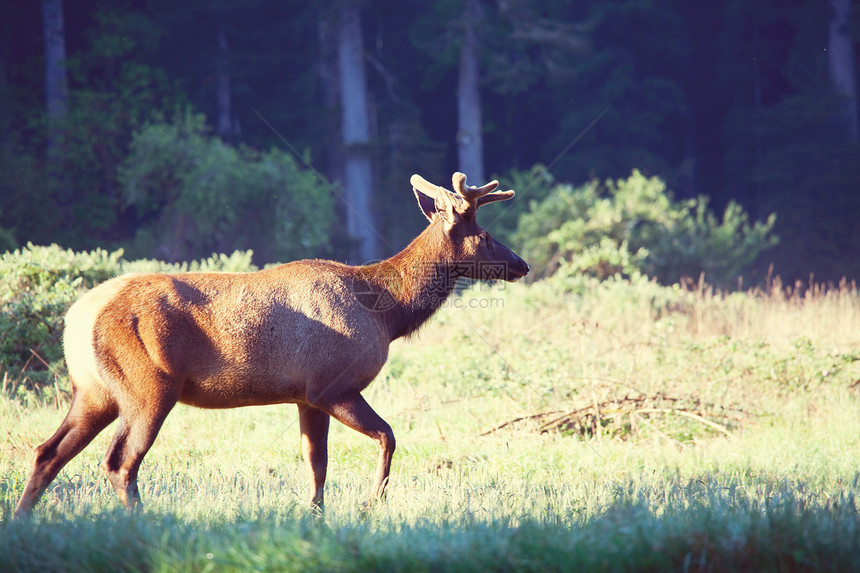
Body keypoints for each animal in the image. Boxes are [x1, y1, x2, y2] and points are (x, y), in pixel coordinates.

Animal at [13, 172, 528, 516]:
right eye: (484, 235)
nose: (521, 265)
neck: (386, 312)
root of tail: (75, 320)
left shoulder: (306, 397)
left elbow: (316, 464)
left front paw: (316, 517)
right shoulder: (332, 384)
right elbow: (387, 436)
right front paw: (370, 505)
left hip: (93, 390)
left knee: (47, 452)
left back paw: (22, 521)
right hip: (149, 386)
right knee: (121, 462)